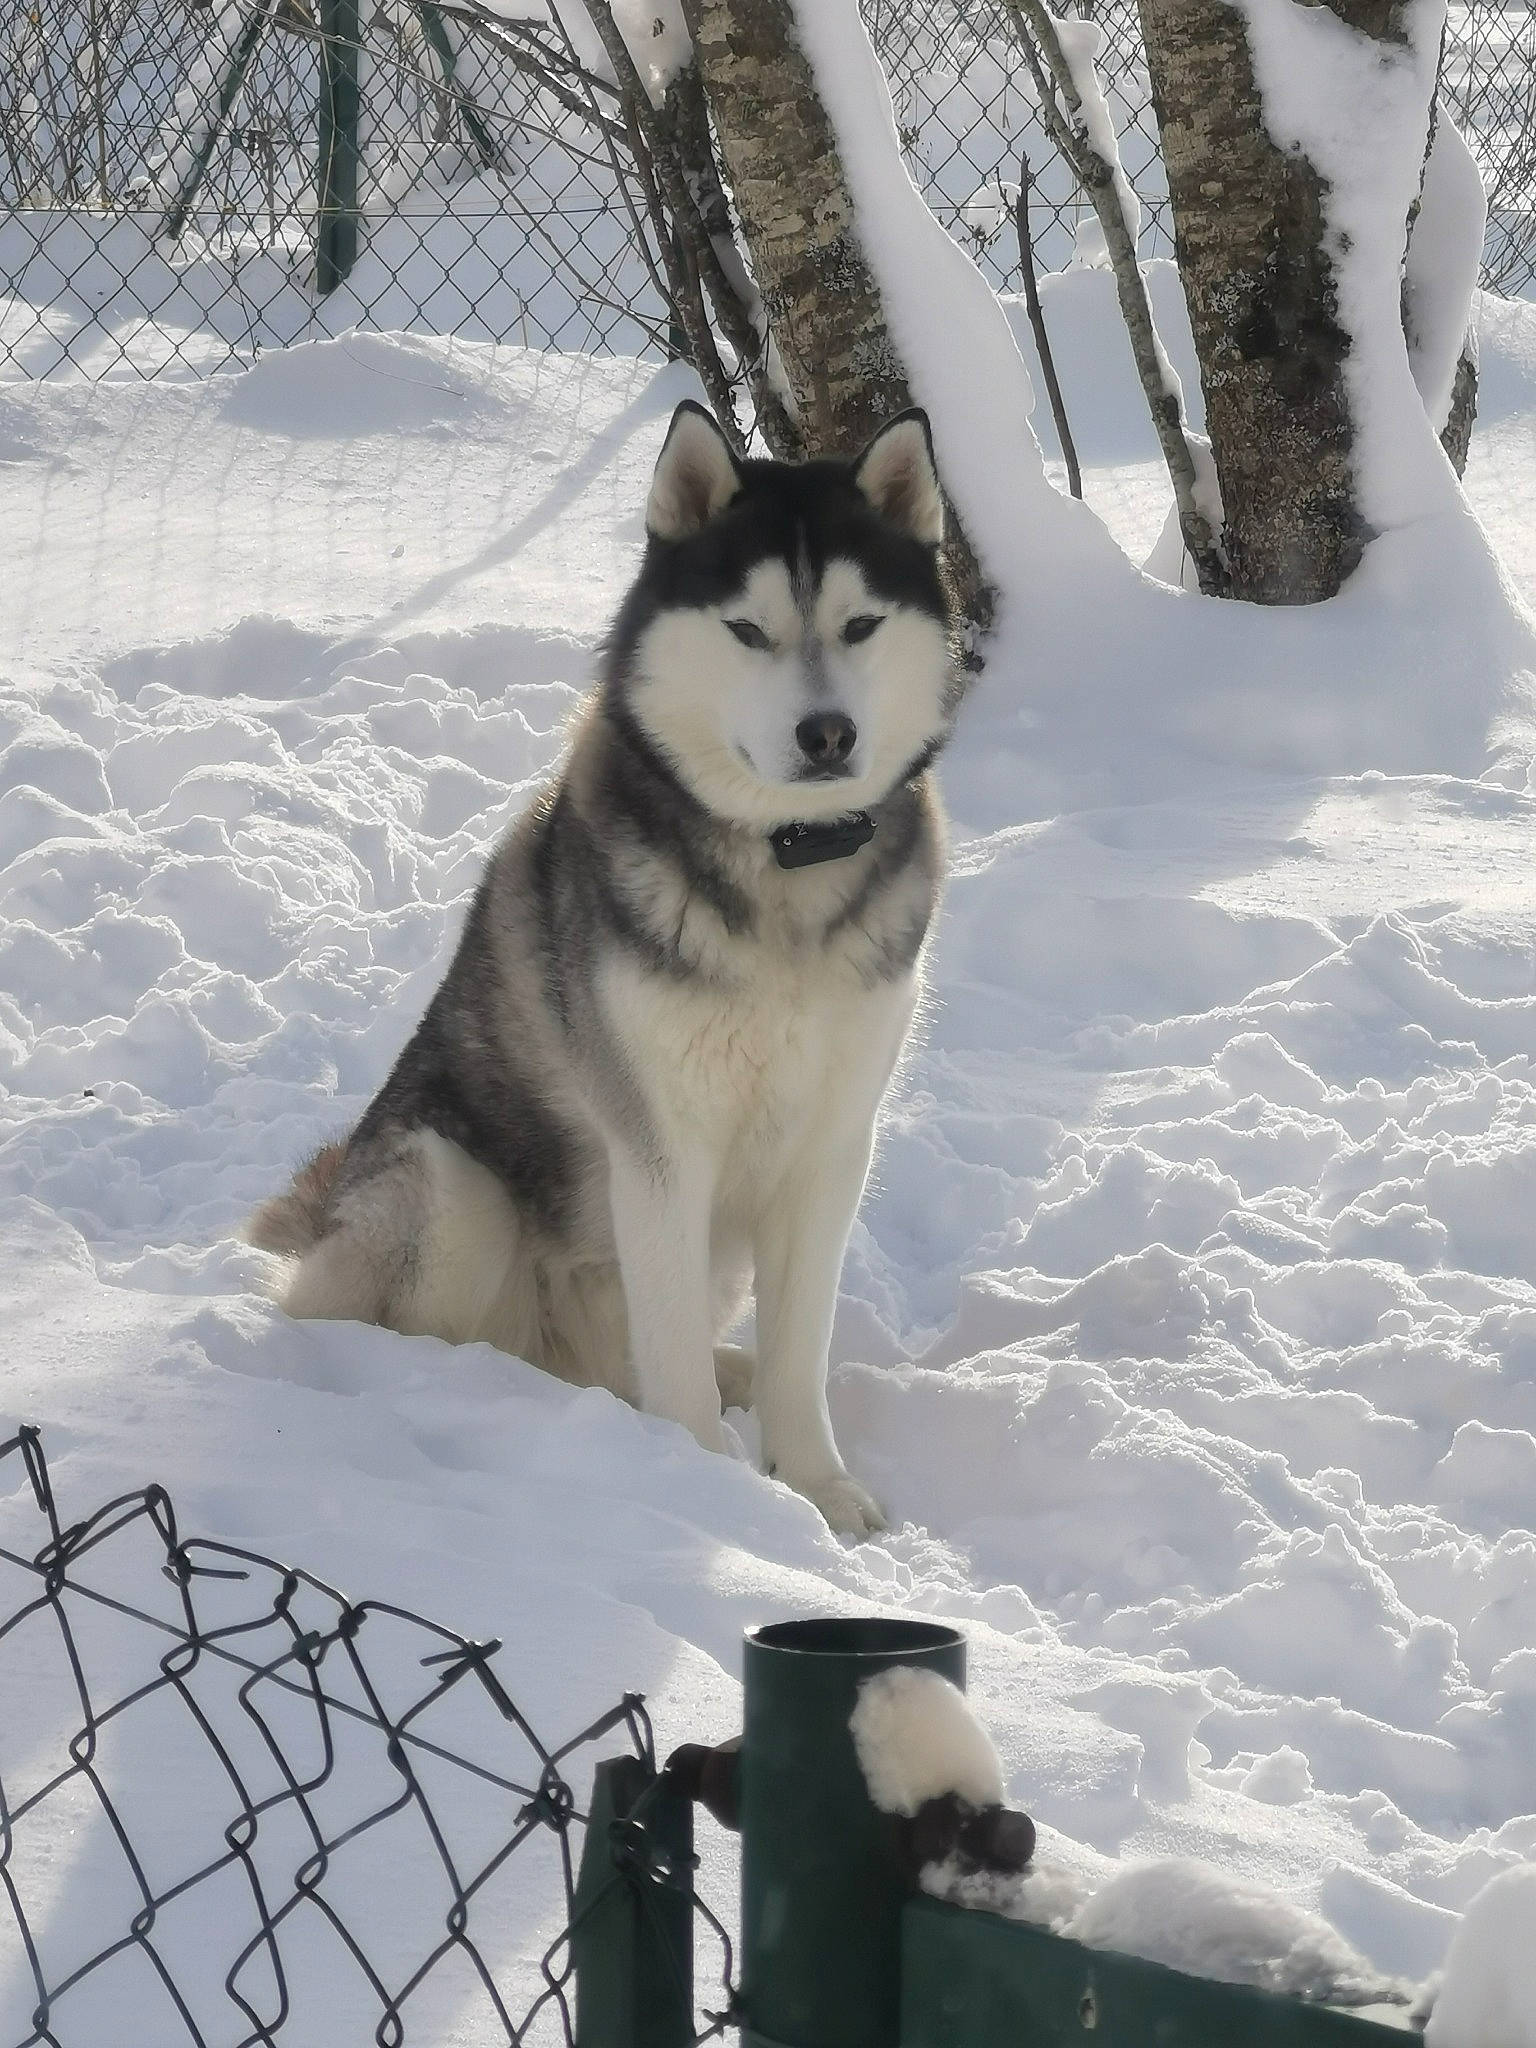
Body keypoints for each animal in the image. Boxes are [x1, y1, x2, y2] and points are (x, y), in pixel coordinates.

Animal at [248, 399, 964, 1533]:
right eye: (748, 629)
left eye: (859, 626)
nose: (827, 733)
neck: (784, 873)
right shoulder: (659, 1149)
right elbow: (667, 1351)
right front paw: (708, 1493)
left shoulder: (832, 1146)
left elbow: (799, 1349)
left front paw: (815, 1485)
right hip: (452, 1192)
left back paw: (728, 1373)